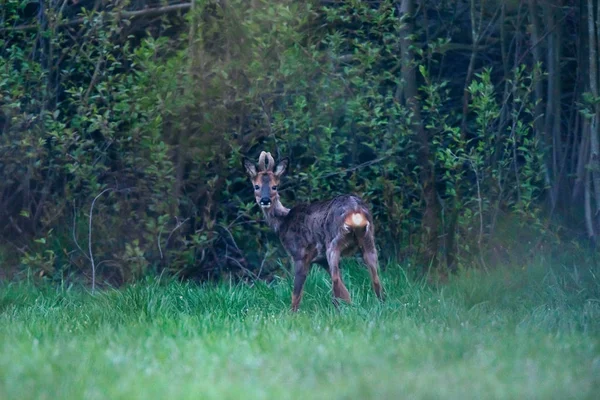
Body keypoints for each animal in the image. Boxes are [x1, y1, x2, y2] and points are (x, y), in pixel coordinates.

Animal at [243, 152, 384, 310]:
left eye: (275, 186)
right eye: (256, 186)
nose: (265, 200)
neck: (284, 221)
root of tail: (355, 211)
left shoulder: (299, 254)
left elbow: (296, 295)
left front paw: (292, 313)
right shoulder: (320, 260)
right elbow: (346, 292)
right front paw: (350, 305)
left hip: (333, 243)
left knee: (336, 280)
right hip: (369, 241)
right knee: (375, 280)